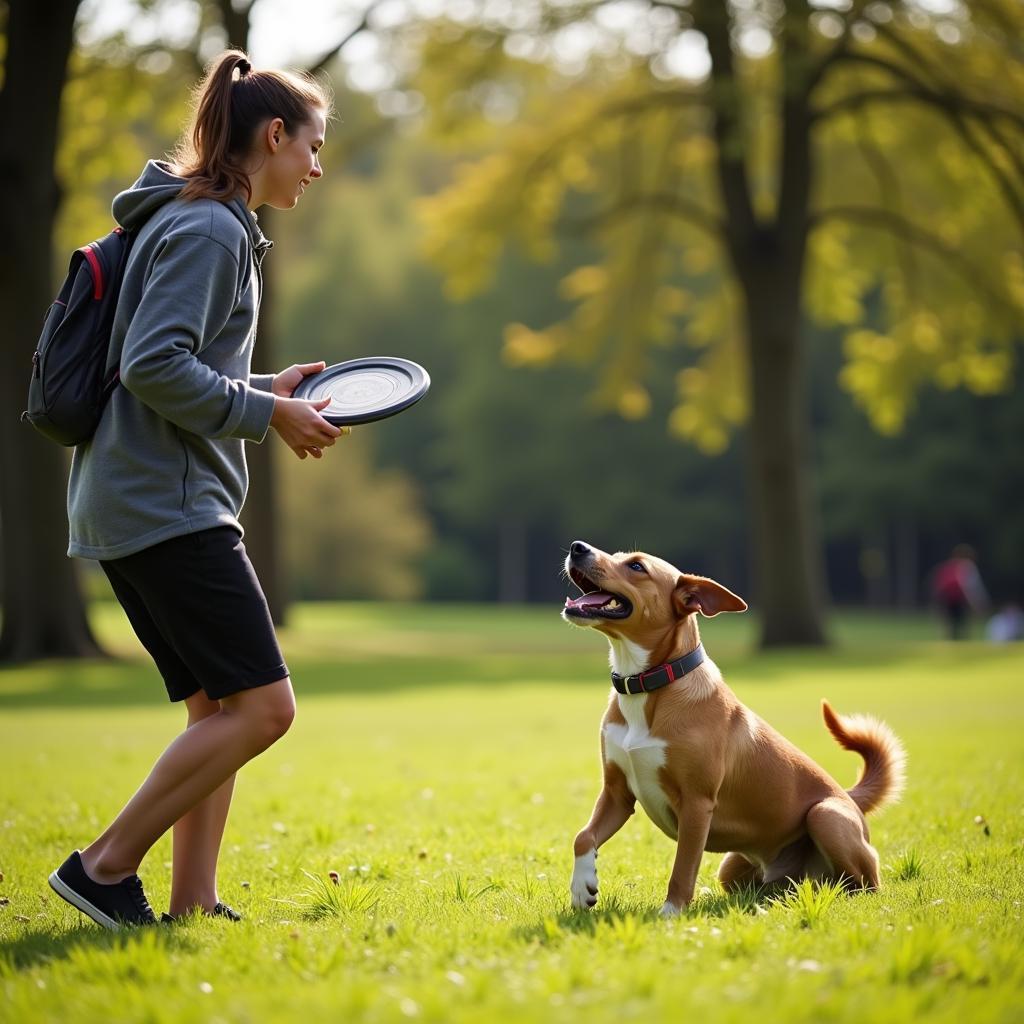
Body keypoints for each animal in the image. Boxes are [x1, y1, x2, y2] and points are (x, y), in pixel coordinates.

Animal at [565, 540, 909, 917]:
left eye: (637, 567)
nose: (577, 547)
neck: (647, 684)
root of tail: (849, 798)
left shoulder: (697, 804)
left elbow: (682, 867)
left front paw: (671, 913)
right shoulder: (617, 793)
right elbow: (583, 836)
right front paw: (582, 888)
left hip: (826, 815)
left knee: (865, 882)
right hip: (733, 868)